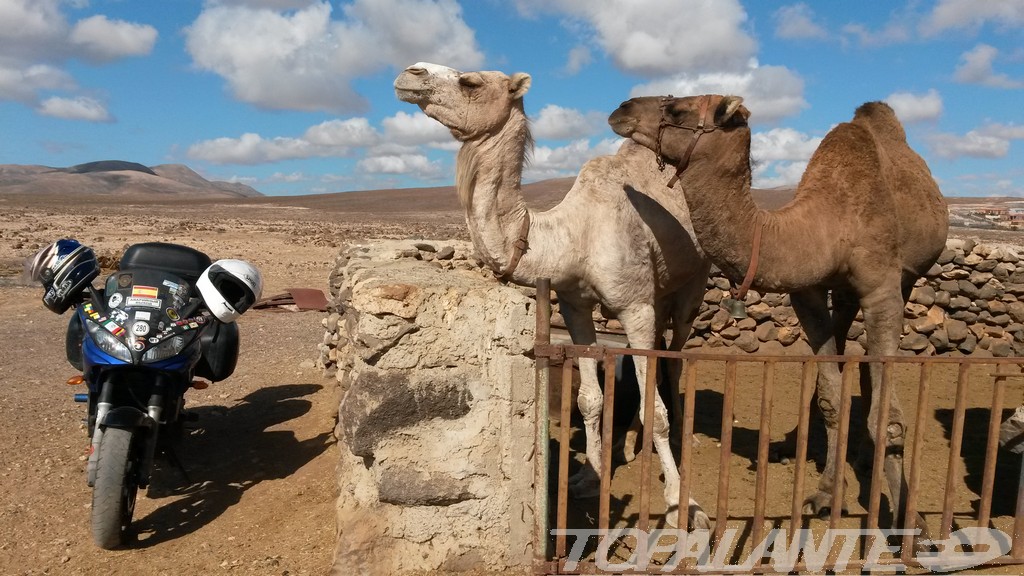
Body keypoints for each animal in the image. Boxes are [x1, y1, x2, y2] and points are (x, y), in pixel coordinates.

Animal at [391, 61, 712, 524]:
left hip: (695, 284)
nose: (410, 73)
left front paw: (679, 504)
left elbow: (657, 409)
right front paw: (590, 478)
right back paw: (631, 446)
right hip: (661, 293)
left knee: (675, 357)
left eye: (470, 81)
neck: (571, 235)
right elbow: (589, 399)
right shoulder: (575, 305)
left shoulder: (635, 306)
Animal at [606, 95, 950, 532]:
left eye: (679, 109)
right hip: (844, 292)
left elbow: (888, 418)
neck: (830, 222)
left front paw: (910, 519)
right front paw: (825, 494)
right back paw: (857, 460)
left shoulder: (883, 287)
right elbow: (831, 400)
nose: (621, 108)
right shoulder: (808, 292)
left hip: (907, 278)